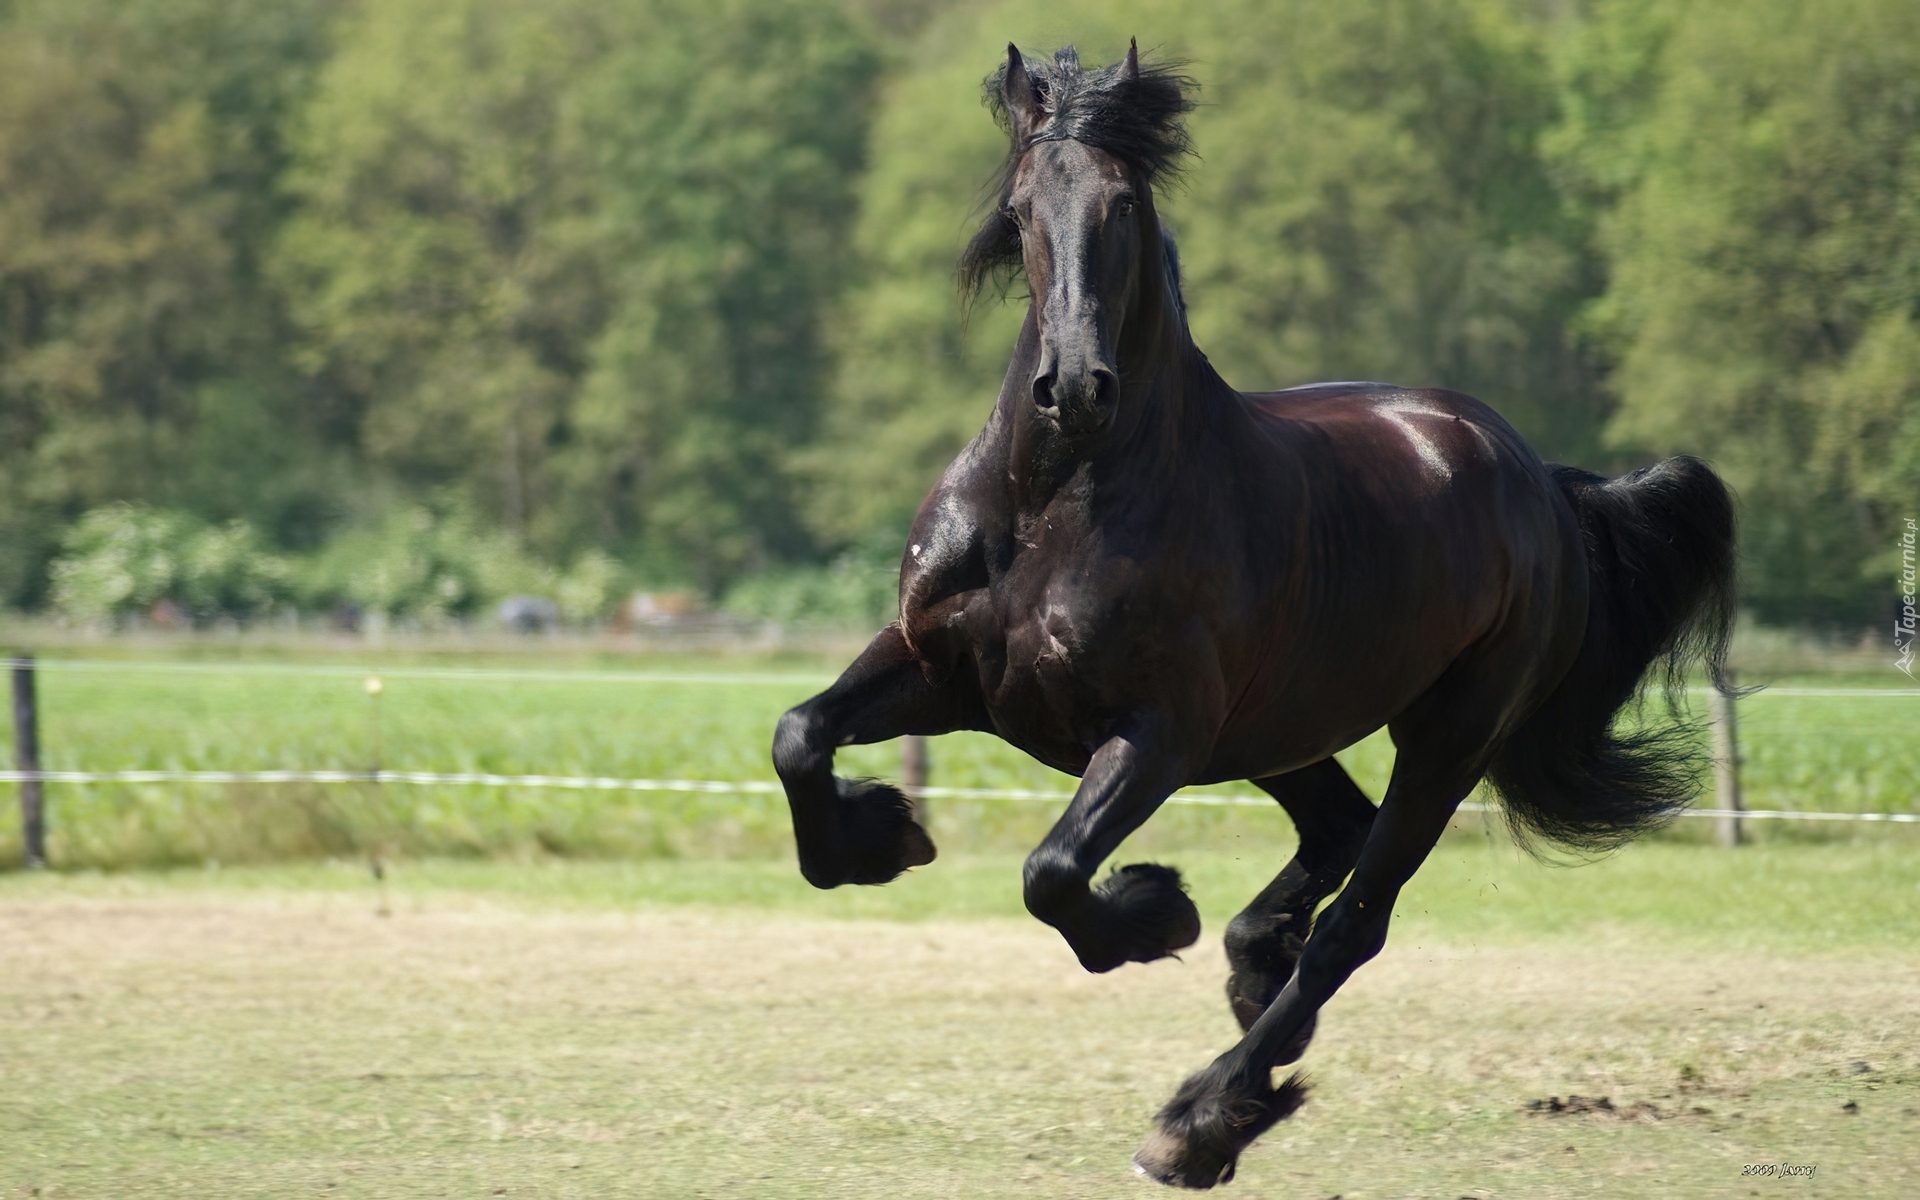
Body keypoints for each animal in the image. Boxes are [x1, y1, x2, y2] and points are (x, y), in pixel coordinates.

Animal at [768, 42, 1743, 1182]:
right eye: (1019, 210)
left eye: (1125, 204)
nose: (1075, 388)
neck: (1060, 500)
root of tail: (1539, 479)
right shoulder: (946, 674)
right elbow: (800, 735)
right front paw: (880, 836)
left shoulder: (1155, 735)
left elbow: (1052, 873)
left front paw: (1152, 913)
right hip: (1280, 729)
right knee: (1336, 833)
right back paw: (1251, 972)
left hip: (1445, 737)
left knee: (1355, 921)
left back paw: (1205, 1114)